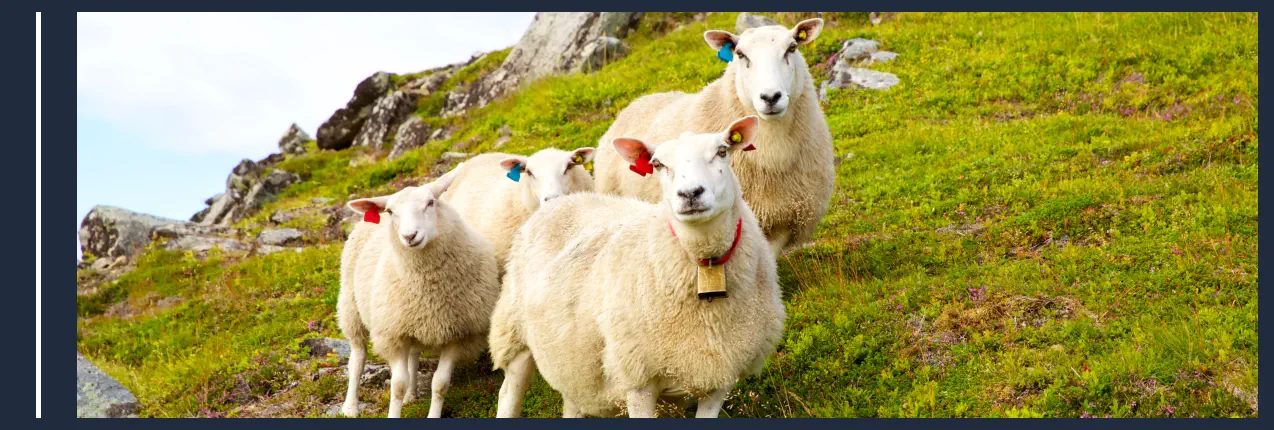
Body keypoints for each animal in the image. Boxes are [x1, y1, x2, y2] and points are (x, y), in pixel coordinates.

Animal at [337, 171, 500, 418]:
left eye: (430, 203)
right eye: (390, 212)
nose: (409, 236)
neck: (429, 290)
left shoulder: (458, 335)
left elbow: (440, 384)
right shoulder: (393, 334)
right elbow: (397, 384)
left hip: (414, 323)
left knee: (413, 355)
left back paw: (411, 395)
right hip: (351, 306)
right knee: (357, 357)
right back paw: (350, 407)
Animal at [489, 116, 786, 418]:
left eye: (722, 151)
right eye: (657, 164)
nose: (690, 194)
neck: (706, 263)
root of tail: (561, 201)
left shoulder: (721, 374)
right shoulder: (637, 377)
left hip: (573, 363)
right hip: (513, 332)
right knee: (508, 393)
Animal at [592, 18, 835, 256]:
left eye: (792, 48)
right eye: (740, 55)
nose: (770, 97)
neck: (773, 150)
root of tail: (639, 100)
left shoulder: (783, 221)